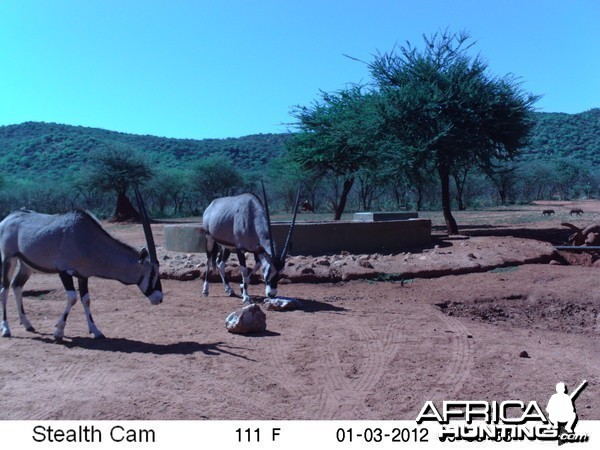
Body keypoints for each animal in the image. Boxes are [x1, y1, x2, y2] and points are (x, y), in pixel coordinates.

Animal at [0, 187, 163, 342]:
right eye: (152, 273)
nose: (160, 298)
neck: (87, 239)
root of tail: (8, 218)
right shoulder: (64, 271)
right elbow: (73, 298)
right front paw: (59, 332)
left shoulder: (83, 275)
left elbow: (86, 300)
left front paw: (96, 331)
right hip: (9, 259)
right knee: (4, 289)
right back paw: (6, 329)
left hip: (26, 266)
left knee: (16, 286)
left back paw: (27, 324)